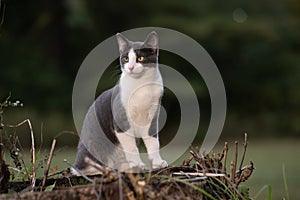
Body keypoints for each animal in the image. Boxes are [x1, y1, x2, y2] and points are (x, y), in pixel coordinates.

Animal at [71, 31, 168, 175]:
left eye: (140, 58)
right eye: (126, 59)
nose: (131, 67)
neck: (141, 86)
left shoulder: (153, 114)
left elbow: (153, 141)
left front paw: (158, 163)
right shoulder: (120, 117)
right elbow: (131, 147)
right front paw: (138, 165)